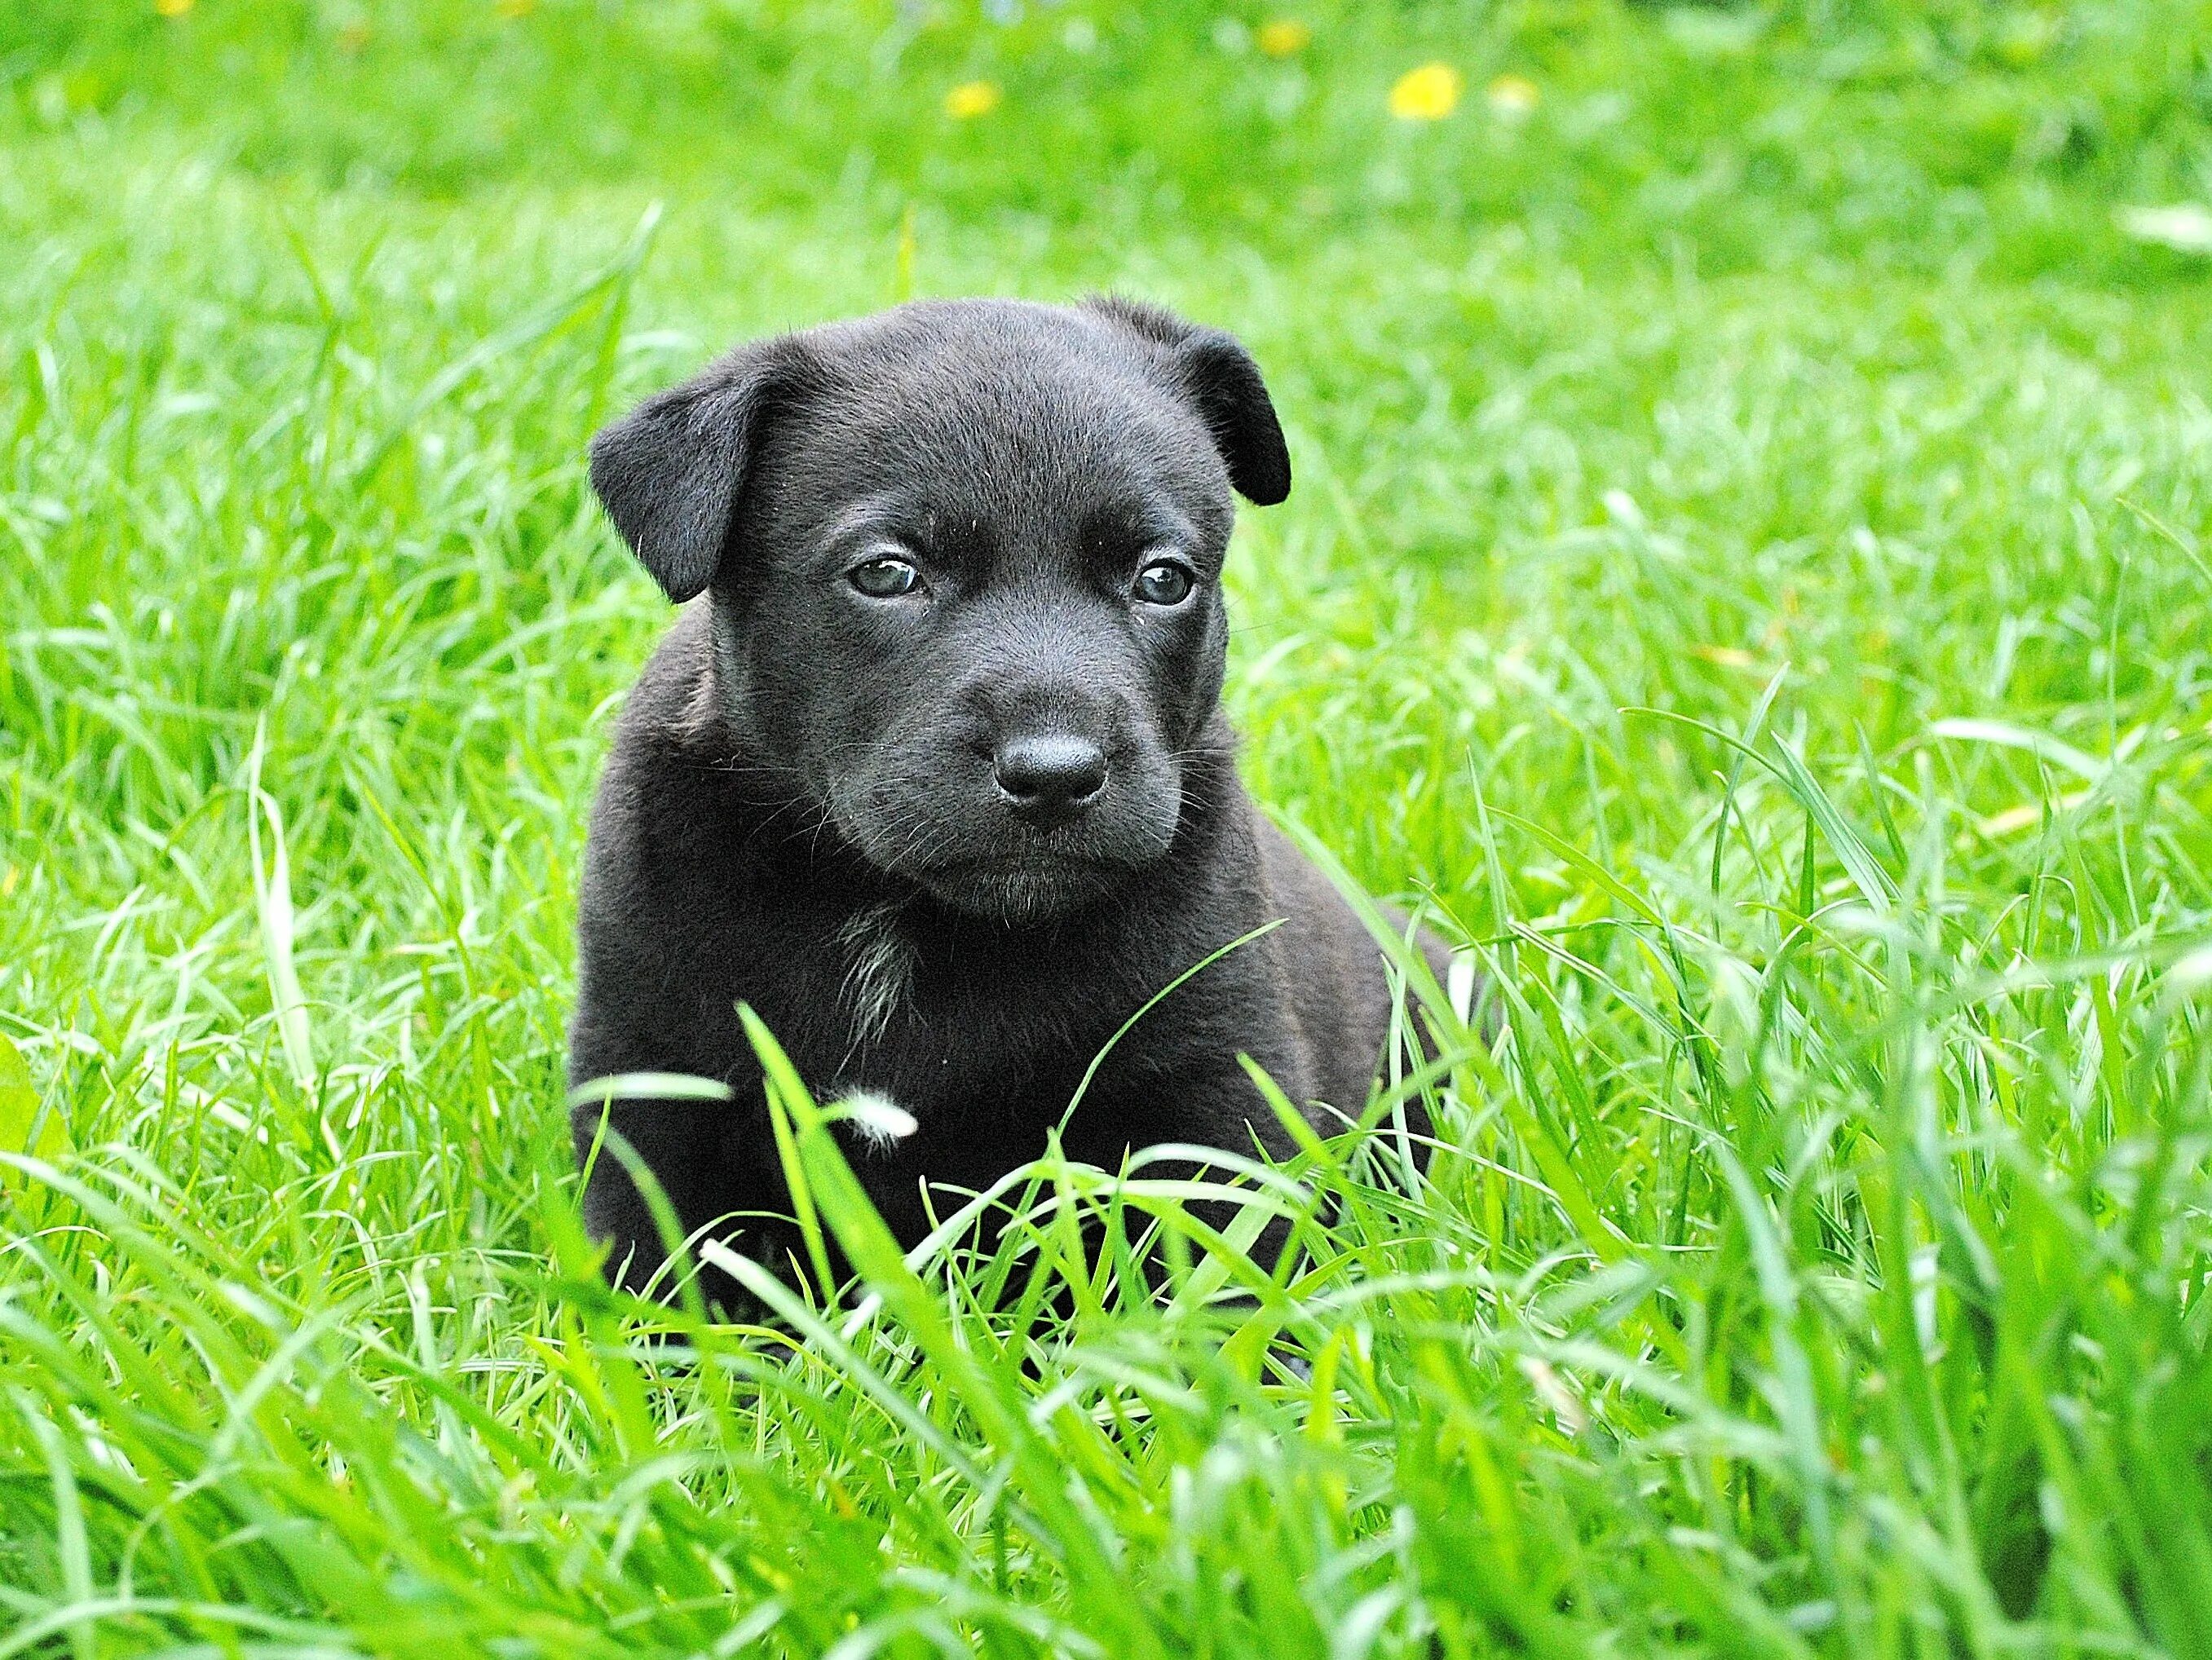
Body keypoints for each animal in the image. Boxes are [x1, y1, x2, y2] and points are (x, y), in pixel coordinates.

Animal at [570, 298, 1450, 1310]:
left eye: (1163, 577)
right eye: (887, 572)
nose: (1055, 774)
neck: (894, 913)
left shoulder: (1211, 1085)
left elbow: (1222, 1283)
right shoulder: (653, 1084)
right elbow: (666, 1287)